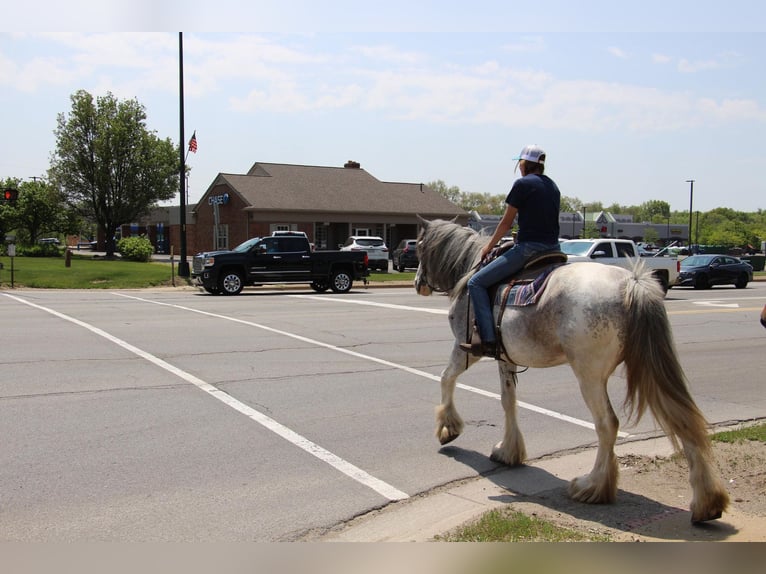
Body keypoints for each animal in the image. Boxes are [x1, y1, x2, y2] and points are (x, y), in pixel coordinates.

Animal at [416, 218, 728, 524]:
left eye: (418, 248)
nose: (418, 284)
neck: (470, 273)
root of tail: (631, 283)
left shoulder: (466, 348)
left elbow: (446, 377)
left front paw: (448, 428)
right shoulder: (506, 357)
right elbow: (508, 402)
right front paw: (508, 451)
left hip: (590, 376)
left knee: (608, 424)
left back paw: (593, 486)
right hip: (649, 364)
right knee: (682, 418)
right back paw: (707, 502)